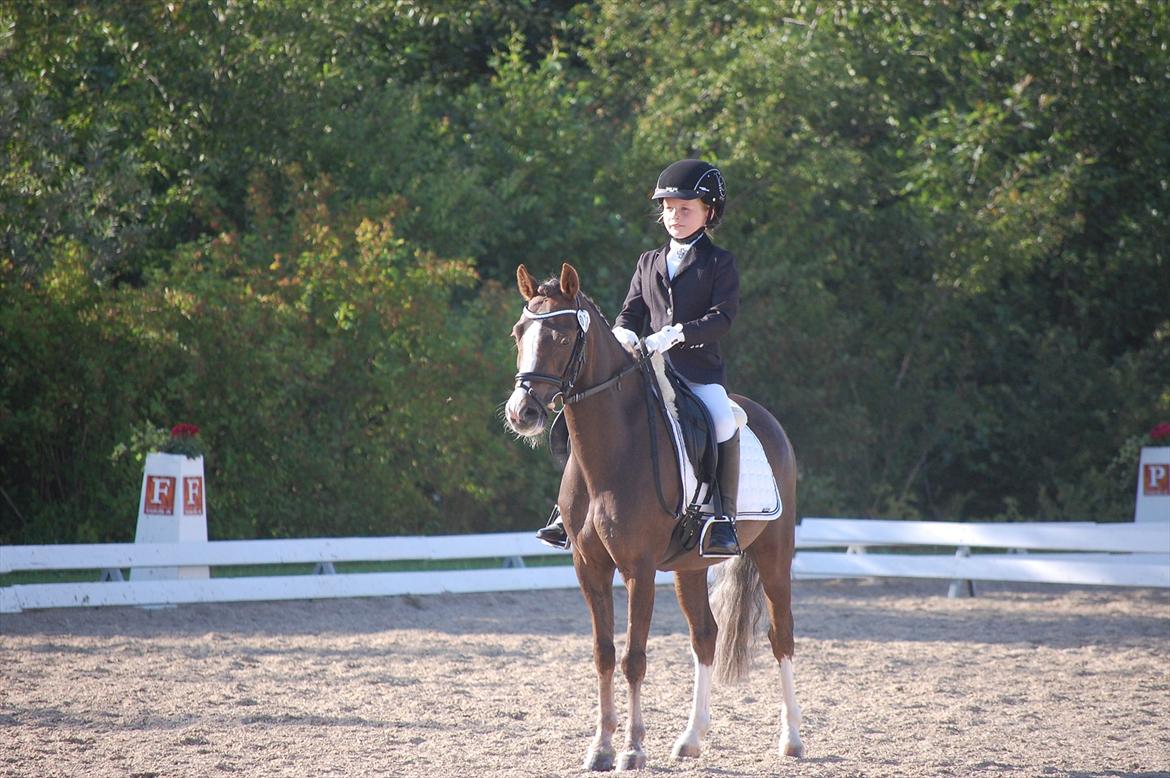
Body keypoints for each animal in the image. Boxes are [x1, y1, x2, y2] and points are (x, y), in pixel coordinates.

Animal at [504, 262, 803, 771]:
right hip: (690, 566)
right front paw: (601, 748)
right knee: (705, 636)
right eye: (519, 333)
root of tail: (767, 419)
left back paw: (793, 740)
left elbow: (634, 658)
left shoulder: (638, 569)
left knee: (781, 636)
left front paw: (632, 750)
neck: (609, 454)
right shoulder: (589, 567)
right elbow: (604, 654)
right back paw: (691, 739)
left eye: (562, 338)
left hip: (774, 553)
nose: (521, 412)